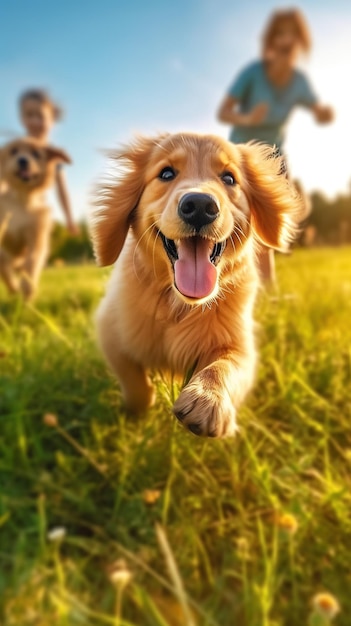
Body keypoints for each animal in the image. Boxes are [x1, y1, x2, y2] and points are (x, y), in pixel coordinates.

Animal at [0, 138, 70, 298]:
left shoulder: (37, 234)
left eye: (36, 154)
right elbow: (4, 267)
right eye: (13, 151)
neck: (22, 200)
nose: (23, 160)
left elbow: (32, 262)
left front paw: (27, 289)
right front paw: (15, 288)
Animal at [91, 133, 302, 434]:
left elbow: (225, 364)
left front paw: (207, 399)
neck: (179, 303)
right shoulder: (110, 328)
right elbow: (133, 378)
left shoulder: (239, 343)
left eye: (229, 178)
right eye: (166, 173)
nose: (200, 206)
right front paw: (137, 411)